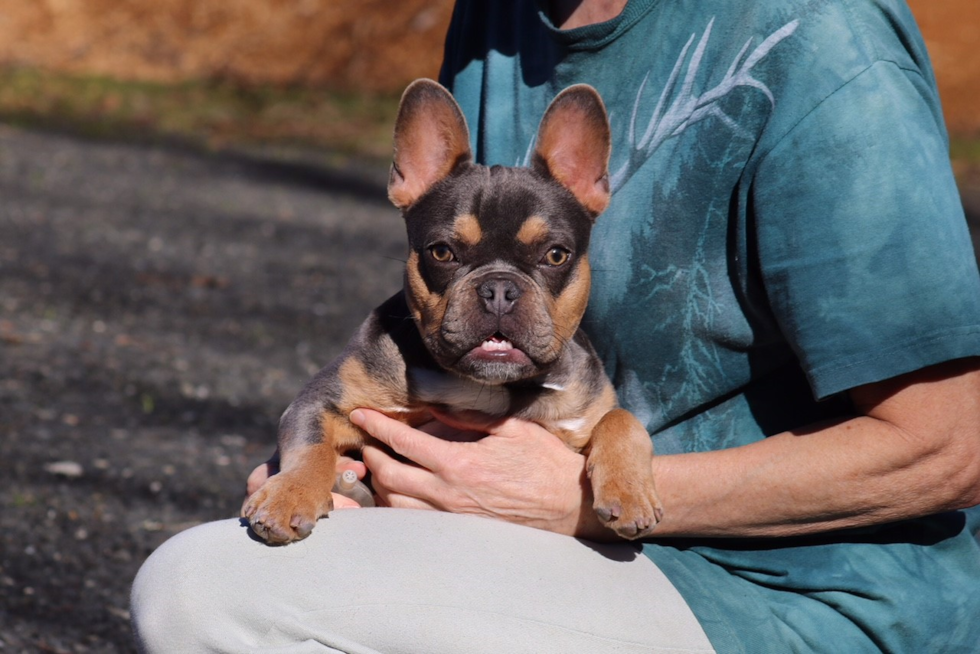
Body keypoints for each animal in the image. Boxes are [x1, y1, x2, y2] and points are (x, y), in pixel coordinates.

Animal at [241, 79, 664, 544]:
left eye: (556, 255)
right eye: (442, 252)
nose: (499, 288)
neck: (487, 388)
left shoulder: (588, 407)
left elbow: (623, 420)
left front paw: (630, 491)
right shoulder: (323, 400)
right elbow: (310, 441)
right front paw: (289, 495)